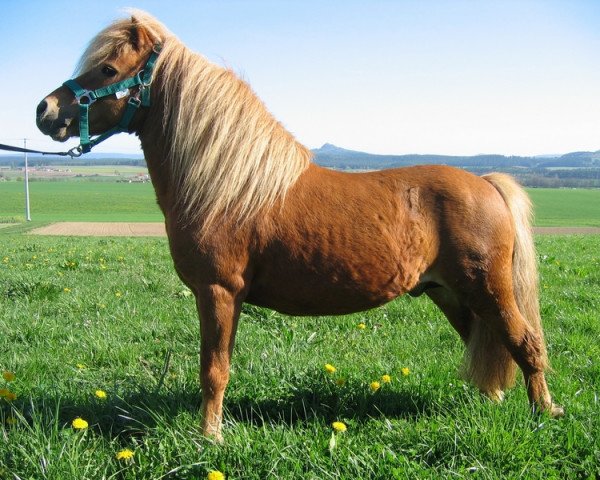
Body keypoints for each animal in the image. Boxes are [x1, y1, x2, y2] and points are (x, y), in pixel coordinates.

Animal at [37, 10, 564, 438]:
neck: (228, 184)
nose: (46, 110)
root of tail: (486, 184)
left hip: (488, 288)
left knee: (524, 342)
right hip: (450, 292)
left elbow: (214, 368)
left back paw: (545, 413)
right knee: (489, 341)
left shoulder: (218, 291)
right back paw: (493, 401)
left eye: (108, 69)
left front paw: (210, 436)